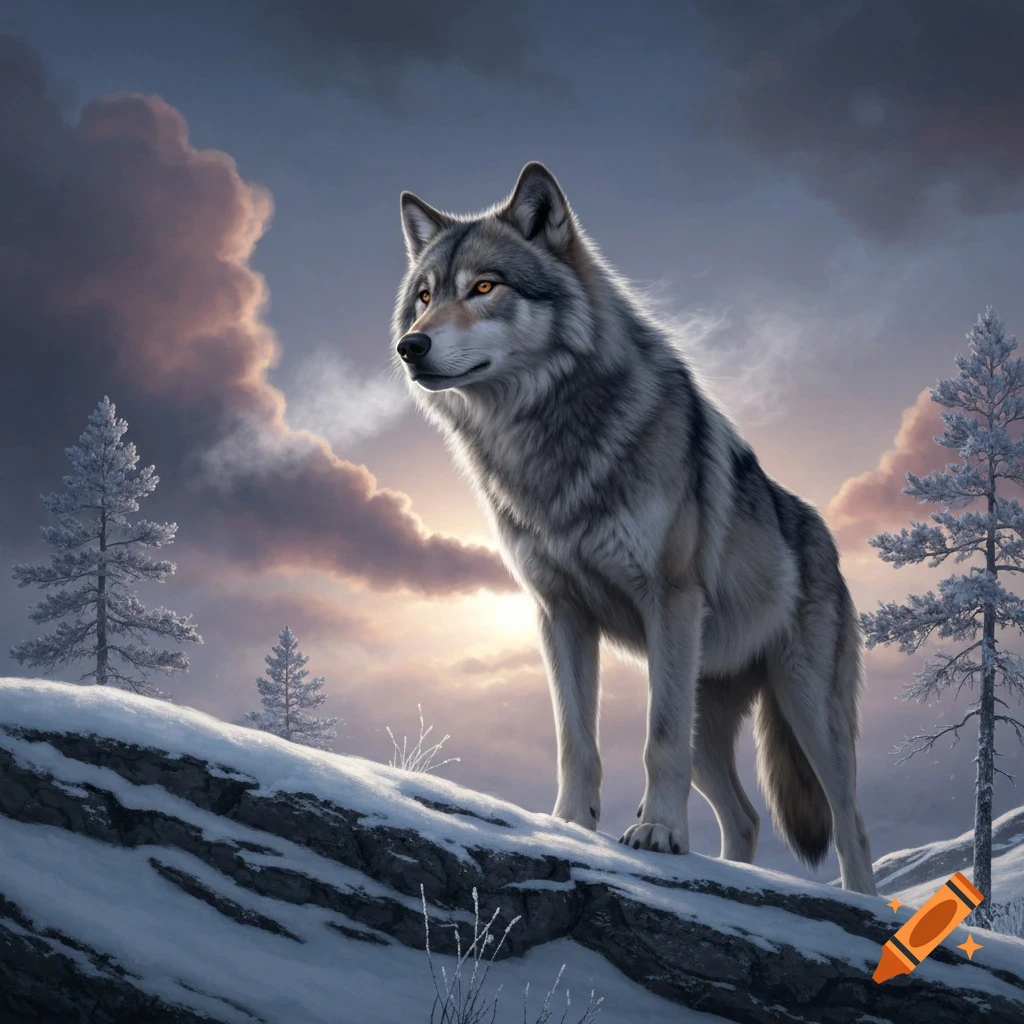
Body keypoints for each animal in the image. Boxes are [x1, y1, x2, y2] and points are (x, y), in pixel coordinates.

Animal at [391, 162, 877, 894]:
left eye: (484, 287)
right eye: (423, 297)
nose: (409, 346)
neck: (546, 441)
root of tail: (826, 537)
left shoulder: (668, 601)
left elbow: (657, 742)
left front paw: (659, 834)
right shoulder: (559, 613)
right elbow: (576, 741)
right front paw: (569, 825)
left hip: (805, 708)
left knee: (851, 824)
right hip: (710, 708)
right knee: (746, 818)